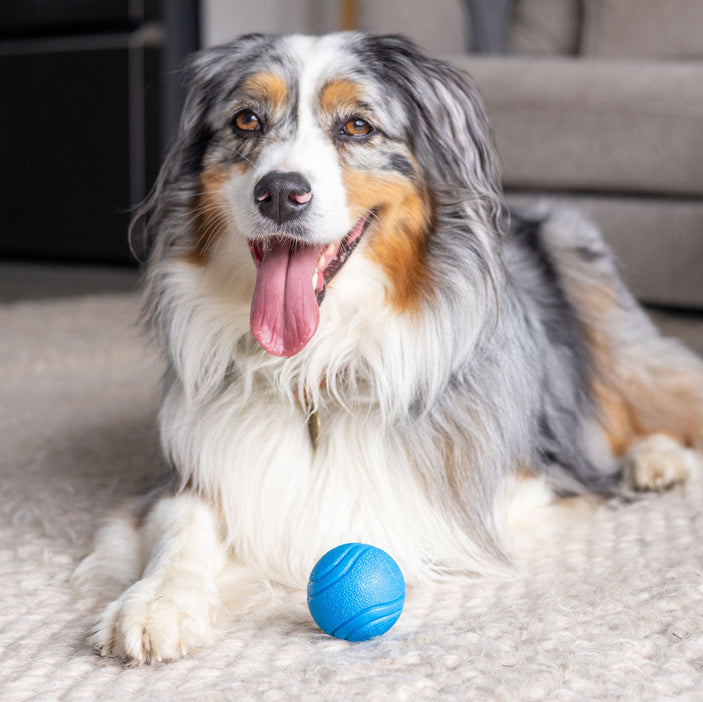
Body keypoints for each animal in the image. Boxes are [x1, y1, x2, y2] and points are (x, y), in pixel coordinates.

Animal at [74, 30, 703, 664]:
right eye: (246, 120)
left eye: (357, 126)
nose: (279, 193)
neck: (315, 359)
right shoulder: (188, 468)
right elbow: (185, 523)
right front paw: (157, 602)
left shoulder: (506, 476)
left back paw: (658, 458)